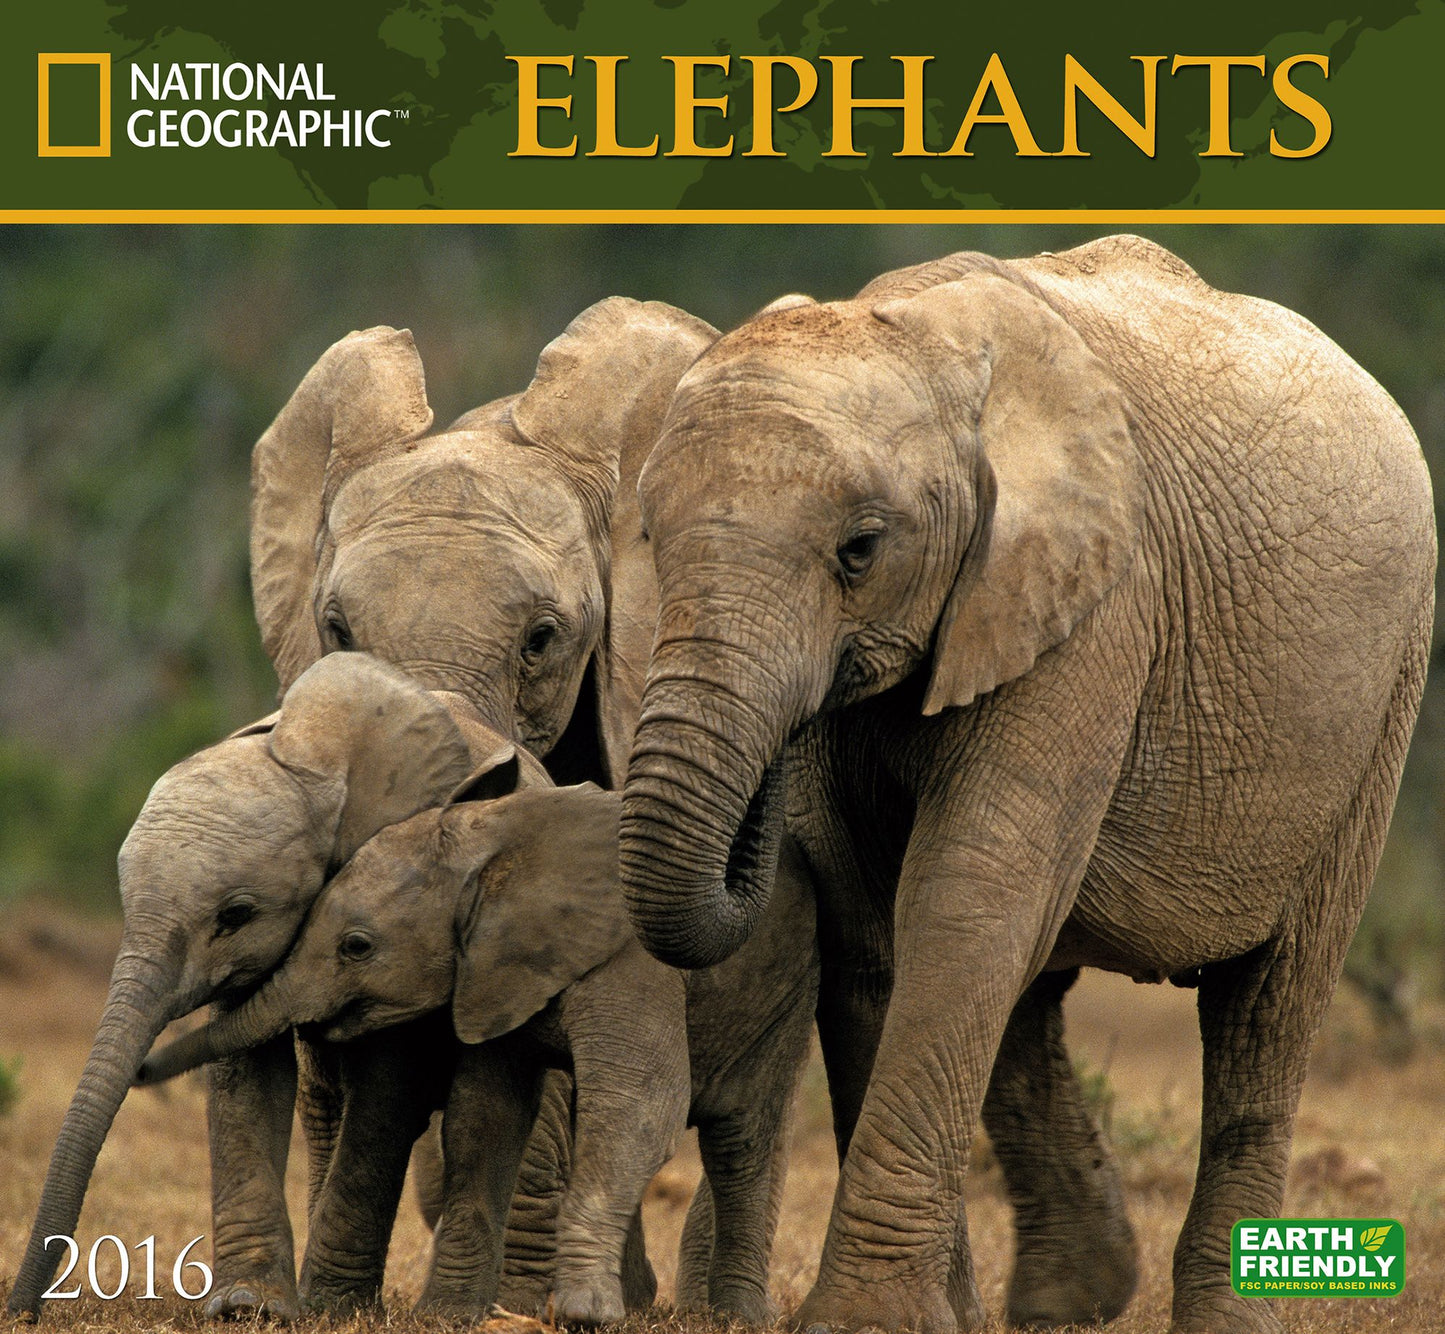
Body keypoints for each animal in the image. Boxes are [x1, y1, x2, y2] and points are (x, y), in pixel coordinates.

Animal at [6, 652, 533, 1319]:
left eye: (236, 914)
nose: (21, 1312)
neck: (319, 763)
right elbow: (248, 1072)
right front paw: (247, 1306)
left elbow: (390, 1084)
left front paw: (330, 1309)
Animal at [139, 779, 818, 1326]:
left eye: (357, 947)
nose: (143, 1070)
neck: (486, 848)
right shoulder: (492, 973)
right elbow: (484, 1116)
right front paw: (448, 1315)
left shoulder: (633, 960)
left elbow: (640, 1106)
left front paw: (582, 1315)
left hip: (787, 992)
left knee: (741, 1138)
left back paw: (734, 1317)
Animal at [616, 235, 1436, 1334]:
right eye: (650, 538)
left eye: (859, 550)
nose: (763, 790)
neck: (916, 340)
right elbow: (873, 924)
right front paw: (937, 1320)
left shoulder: (1100, 606)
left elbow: (966, 893)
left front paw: (864, 1322)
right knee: (1031, 987)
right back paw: (1070, 1299)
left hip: (1382, 699)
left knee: (1269, 999)